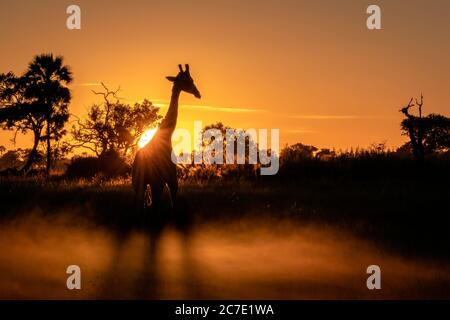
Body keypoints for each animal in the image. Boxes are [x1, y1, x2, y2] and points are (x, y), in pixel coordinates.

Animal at [130, 64, 200, 221]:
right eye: (190, 80)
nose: (198, 94)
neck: (166, 136)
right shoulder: (171, 180)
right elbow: (174, 205)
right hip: (156, 183)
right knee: (153, 208)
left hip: (139, 184)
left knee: (141, 208)